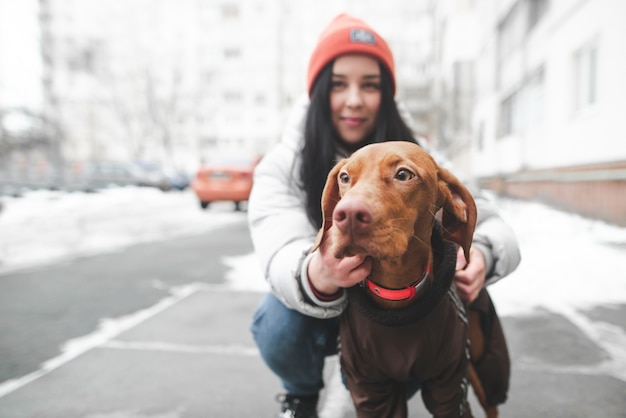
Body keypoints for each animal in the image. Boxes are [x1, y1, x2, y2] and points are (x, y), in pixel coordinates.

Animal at [312, 142, 498, 416]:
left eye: (403, 174)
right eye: (344, 178)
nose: (347, 214)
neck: (395, 291)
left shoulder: (450, 386)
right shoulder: (371, 389)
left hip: (485, 366)